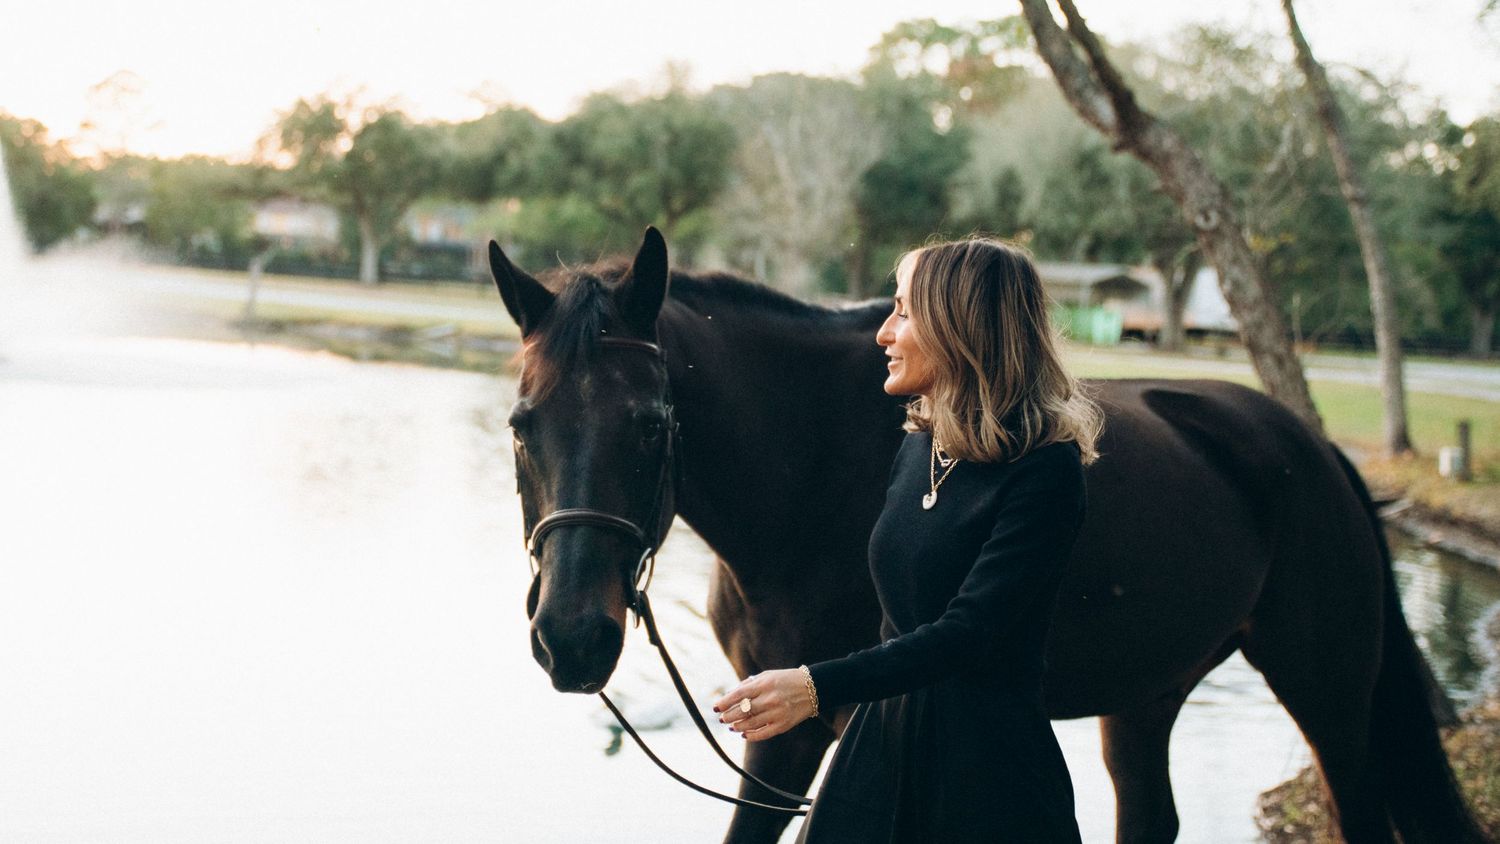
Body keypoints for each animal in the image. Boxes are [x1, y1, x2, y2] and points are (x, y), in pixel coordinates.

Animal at [492, 227, 1483, 844]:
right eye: (520, 424)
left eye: (653, 425)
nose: (571, 638)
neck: (816, 466)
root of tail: (1312, 450)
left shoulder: (795, 732)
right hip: (1146, 696)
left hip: (1328, 694)